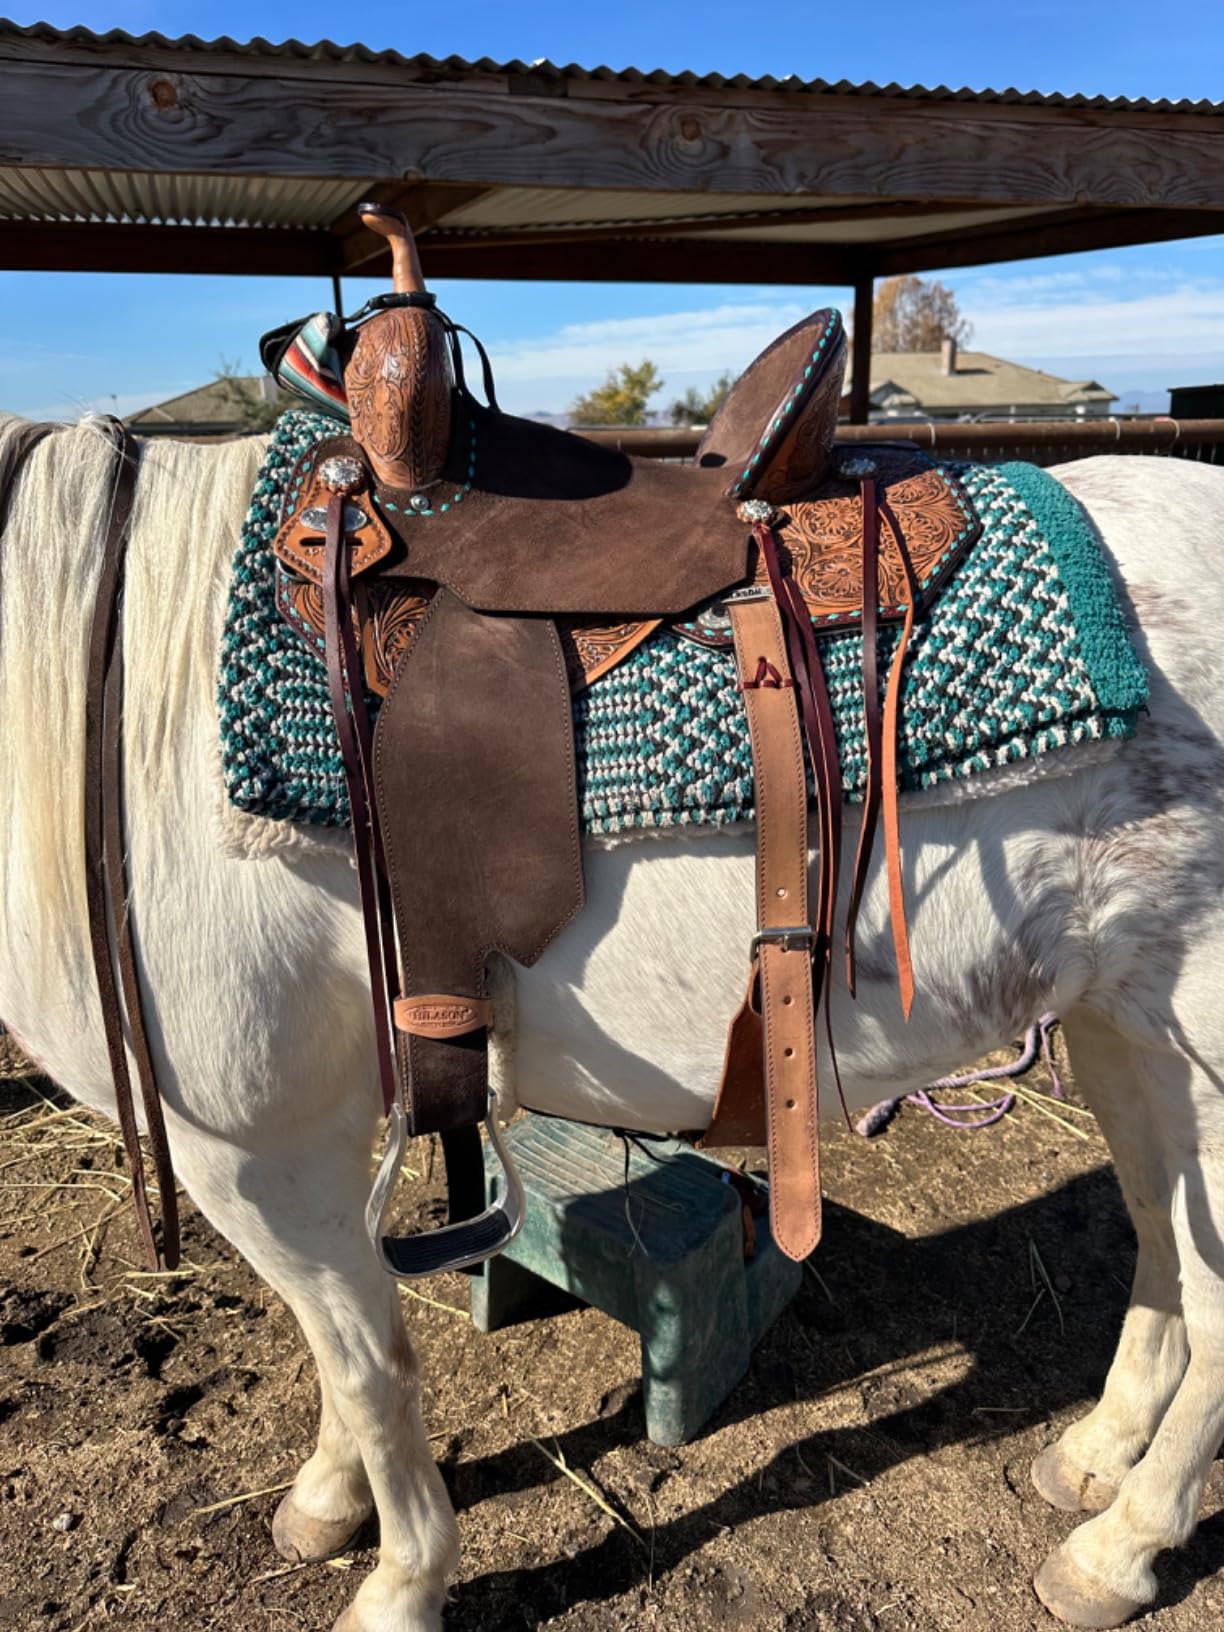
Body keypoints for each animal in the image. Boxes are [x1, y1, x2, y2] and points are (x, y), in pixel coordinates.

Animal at [2, 410, 1222, 1631]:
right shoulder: (304, 1145)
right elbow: (341, 1344)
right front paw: (327, 1498)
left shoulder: (256, 1150)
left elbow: (368, 1361)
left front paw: (402, 1579)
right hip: (1125, 1035)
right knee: (1164, 1239)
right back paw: (1093, 1457)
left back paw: (1117, 1550)